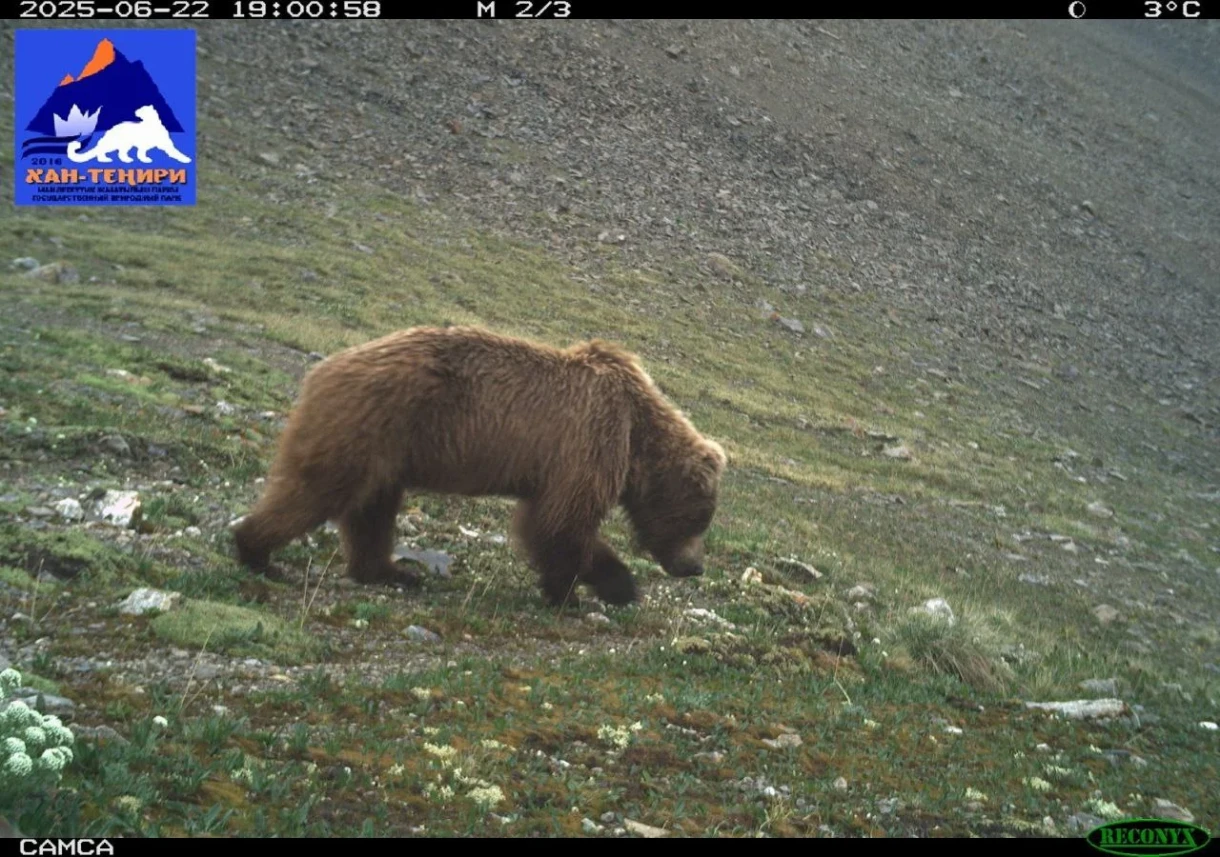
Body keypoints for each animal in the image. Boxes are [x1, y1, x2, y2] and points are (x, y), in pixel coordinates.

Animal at [232, 325, 727, 607]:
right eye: (700, 517)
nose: (694, 567)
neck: (636, 433)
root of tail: (324, 368)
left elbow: (547, 520)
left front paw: (602, 587)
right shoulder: (588, 443)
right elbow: (561, 522)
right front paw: (586, 591)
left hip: (389, 447)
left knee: (372, 508)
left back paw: (391, 572)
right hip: (367, 423)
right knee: (319, 489)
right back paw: (255, 550)